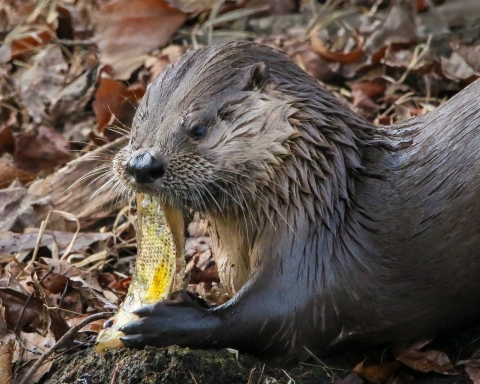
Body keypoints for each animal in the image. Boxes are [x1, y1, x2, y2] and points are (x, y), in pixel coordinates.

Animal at [113, 41, 480, 360]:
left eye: (198, 129)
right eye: (137, 125)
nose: (142, 164)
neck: (316, 197)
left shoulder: (311, 259)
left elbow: (268, 318)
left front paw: (161, 321)